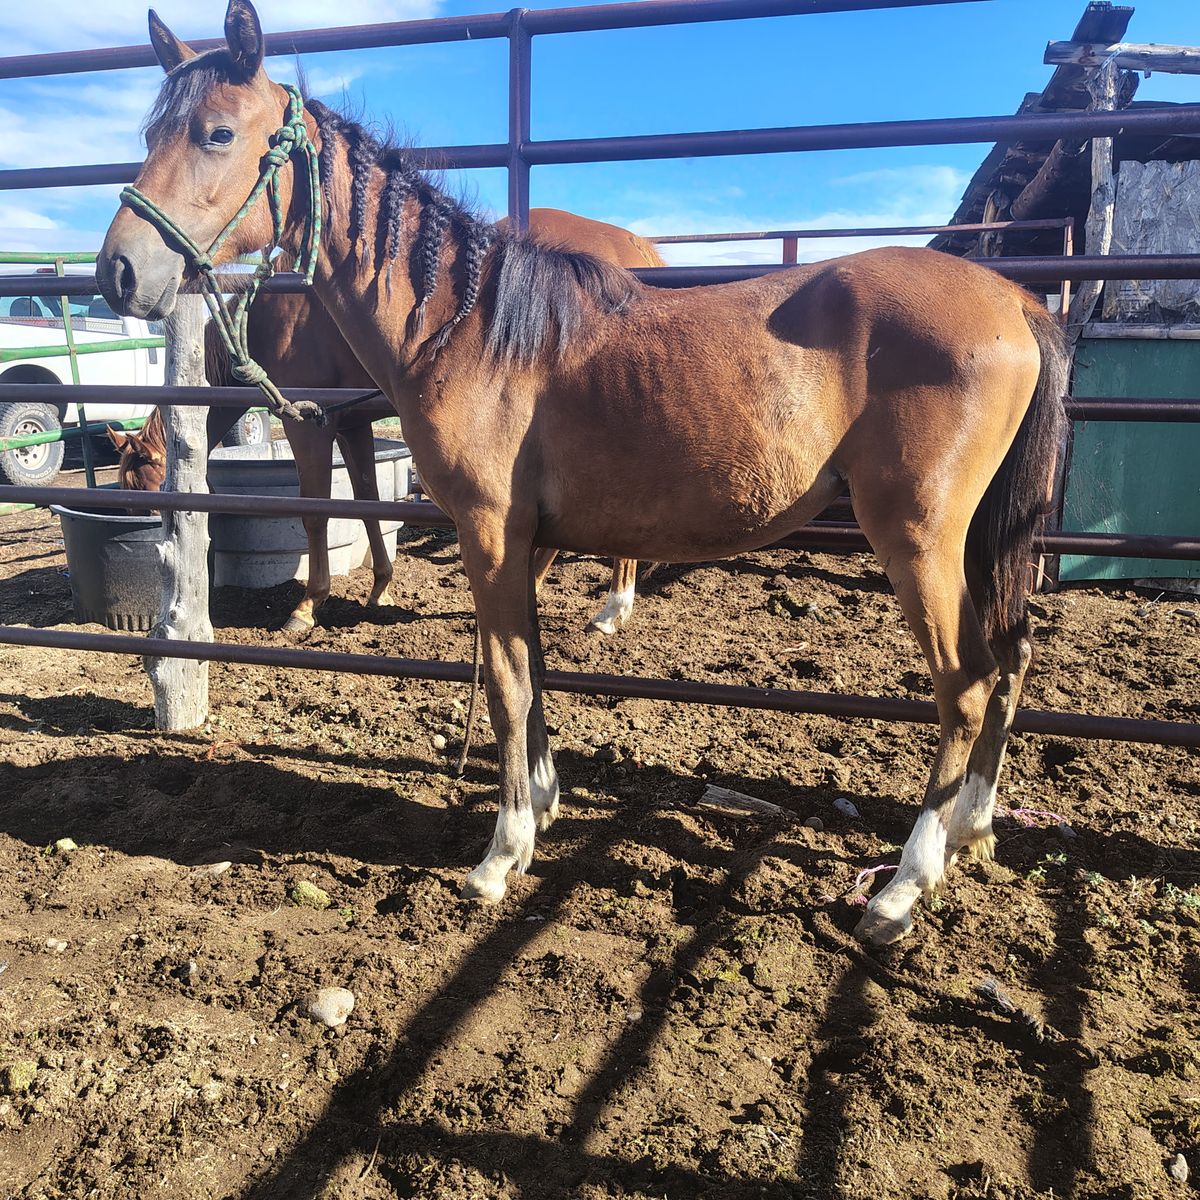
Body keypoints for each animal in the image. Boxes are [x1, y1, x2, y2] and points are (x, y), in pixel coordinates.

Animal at [111, 209, 661, 635]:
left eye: (149, 490)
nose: (143, 547)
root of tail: (637, 249)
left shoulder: (309, 425)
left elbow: (316, 511)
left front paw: (306, 608)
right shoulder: (353, 425)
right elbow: (368, 502)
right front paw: (380, 586)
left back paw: (609, 610)